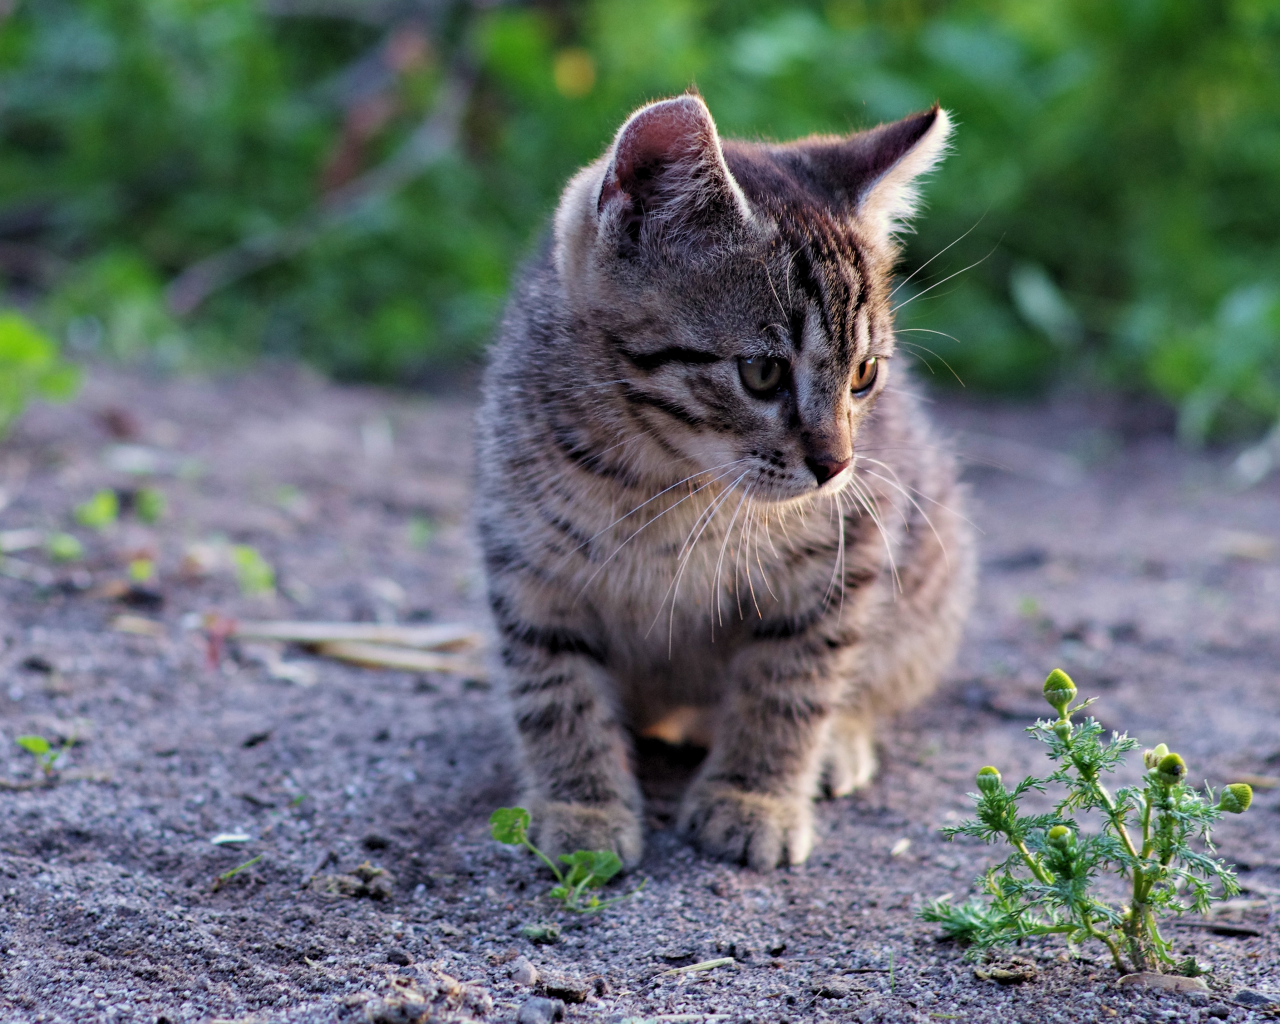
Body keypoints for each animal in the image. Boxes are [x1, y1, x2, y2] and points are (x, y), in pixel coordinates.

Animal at [478, 92, 967, 870]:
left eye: (864, 375)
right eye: (761, 372)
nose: (836, 466)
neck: (664, 482)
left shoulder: (848, 550)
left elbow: (791, 681)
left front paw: (754, 796)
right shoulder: (526, 559)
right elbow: (553, 690)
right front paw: (580, 806)